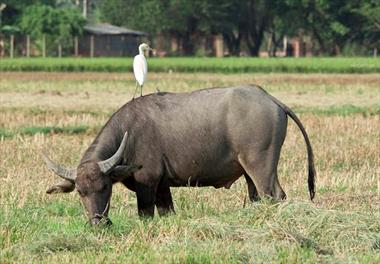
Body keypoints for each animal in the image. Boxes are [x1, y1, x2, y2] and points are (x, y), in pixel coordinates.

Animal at [42, 86, 314, 225]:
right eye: (80, 192)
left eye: (106, 187)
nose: (98, 223)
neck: (128, 134)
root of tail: (270, 99)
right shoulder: (162, 187)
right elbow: (167, 212)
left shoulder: (147, 184)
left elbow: (145, 215)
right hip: (248, 172)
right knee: (257, 197)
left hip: (261, 167)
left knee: (275, 195)